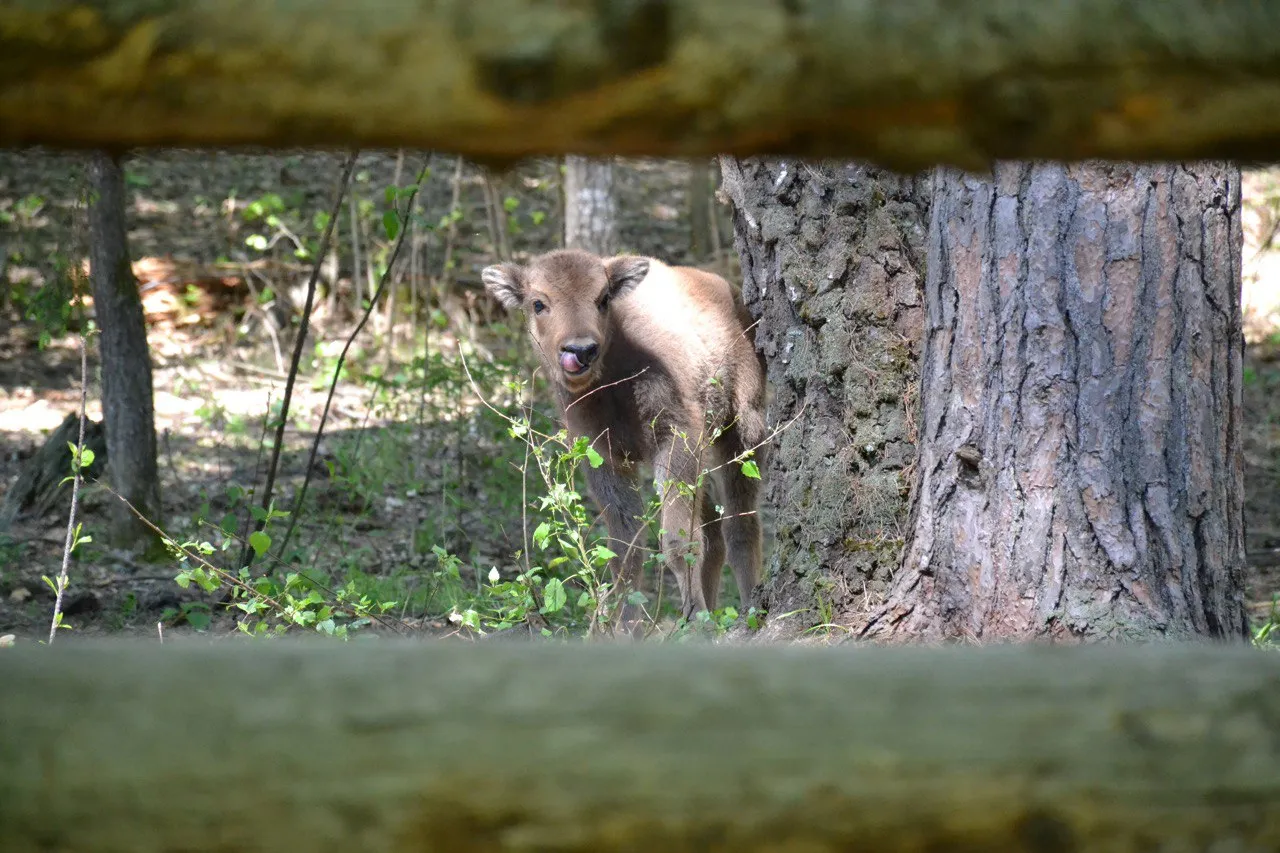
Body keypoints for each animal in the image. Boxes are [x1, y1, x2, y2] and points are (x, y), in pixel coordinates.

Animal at [478, 245, 757, 625]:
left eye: (603, 298)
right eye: (538, 303)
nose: (580, 350)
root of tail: (729, 292)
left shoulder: (677, 437)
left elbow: (677, 541)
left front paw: (693, 619)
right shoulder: (605, 457)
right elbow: (625, 552)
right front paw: (626, 626)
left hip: (743, 429)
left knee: (741, 524)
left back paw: (751, 606)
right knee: (714, 533)